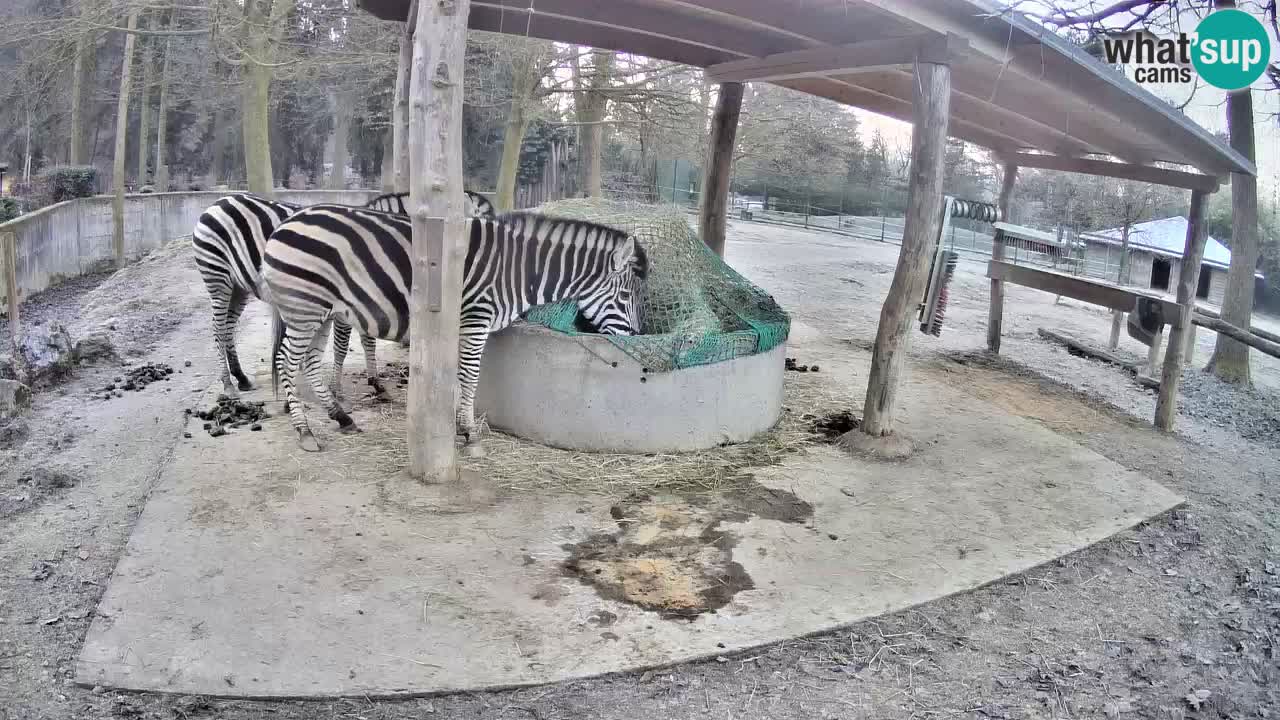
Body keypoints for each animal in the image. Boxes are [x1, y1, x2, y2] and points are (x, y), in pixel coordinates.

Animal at [191, 190, 490, 398]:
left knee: (228, 327)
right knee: (218, 329)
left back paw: (241, 377)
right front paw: (336, 388)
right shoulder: (349, 304)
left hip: (238, 286)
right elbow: (343, 345)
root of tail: (218, 201)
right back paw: (228, 384)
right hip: (217, 277)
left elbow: (367, 341)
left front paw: (374, 381)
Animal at [260, 205, 648, 451]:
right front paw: (470, 435)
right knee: (287, 362)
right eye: (626, 295)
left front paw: (459, 427)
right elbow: (471, 378)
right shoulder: (475, 320)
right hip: (305, 308)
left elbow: (461, 378)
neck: (516, 270)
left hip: (321, 311)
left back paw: (340, 417)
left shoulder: (465, 327)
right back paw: (305, 432)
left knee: (309, 363)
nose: (637, 338)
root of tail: (288, 221)